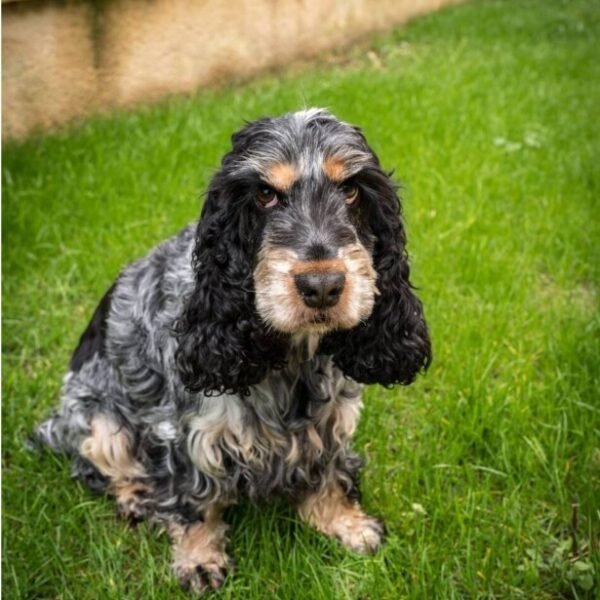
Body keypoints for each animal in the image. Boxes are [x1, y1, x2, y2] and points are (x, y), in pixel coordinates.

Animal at [35, 109, 432, 596]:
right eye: (264, 194)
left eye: (352, 189)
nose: (322, 286)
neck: (289, 356)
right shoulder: (183, 433)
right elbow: (193, 501)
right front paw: (199, 561)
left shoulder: (330, 420)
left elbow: (331, 473)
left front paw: (347, 524)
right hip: (96, 419)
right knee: (96, 464)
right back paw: (137, 498)